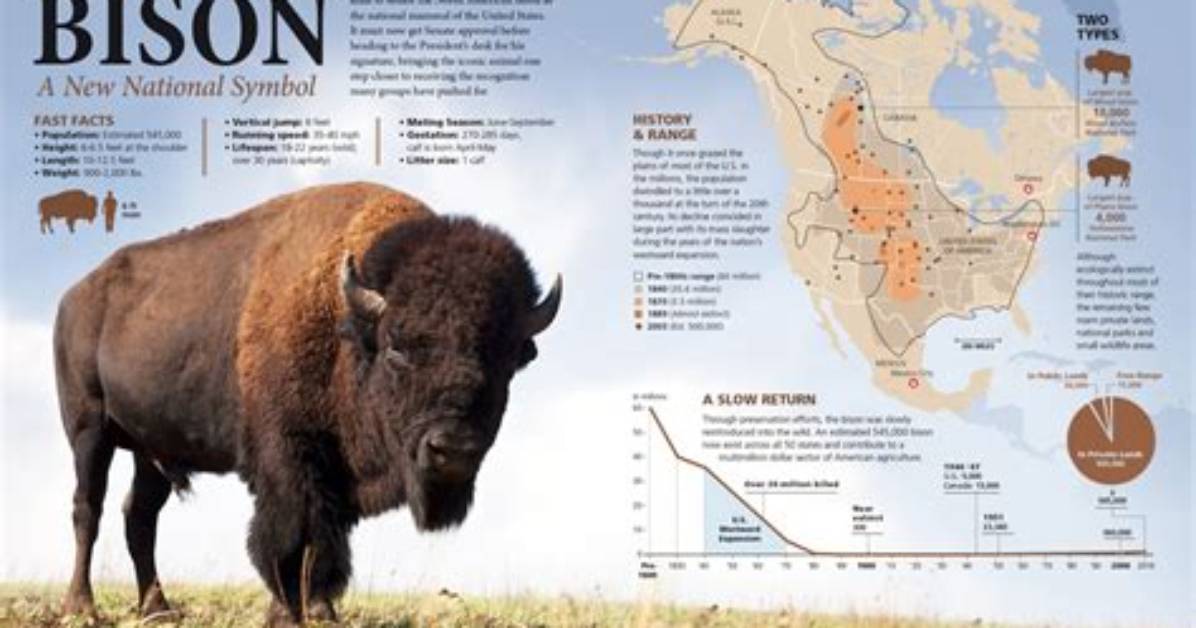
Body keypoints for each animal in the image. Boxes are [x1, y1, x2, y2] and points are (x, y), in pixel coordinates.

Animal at [54, 183, 562, 625]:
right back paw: (81, 606)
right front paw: (288, 611)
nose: (452, 450)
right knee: (87, 509)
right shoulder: (289, 457)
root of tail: (73, 296)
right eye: (396, 345)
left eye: (504, 358)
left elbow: (328, 538)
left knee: (139, 516)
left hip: (152, 450)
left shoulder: (338, 472)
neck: (347, 328)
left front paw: (320, 609)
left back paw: (158, 609)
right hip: (89, 431)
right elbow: (294, 534)